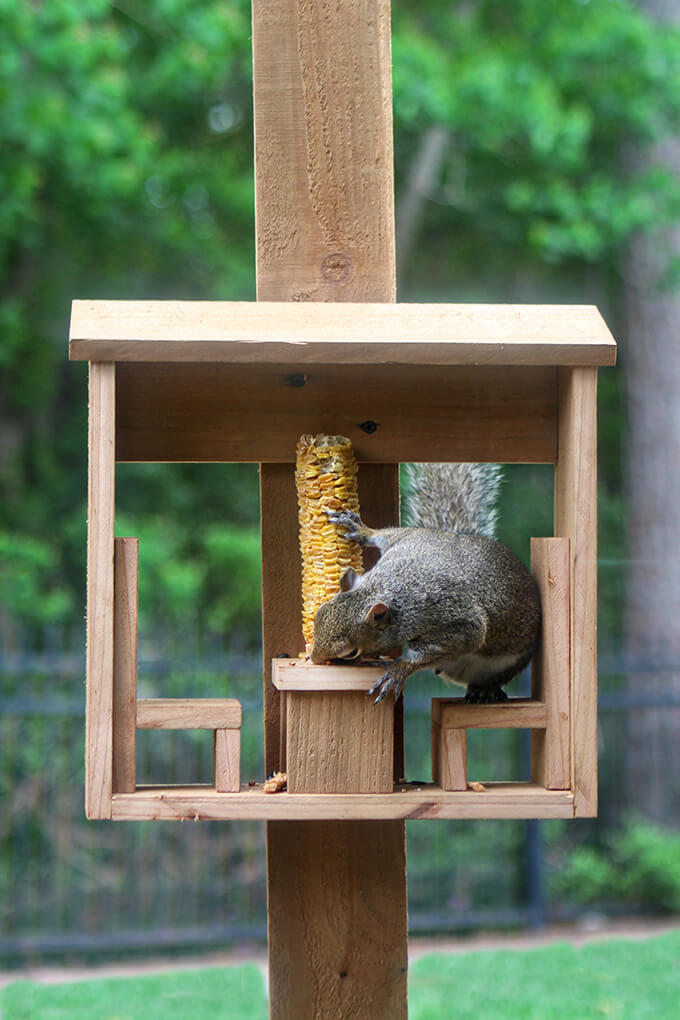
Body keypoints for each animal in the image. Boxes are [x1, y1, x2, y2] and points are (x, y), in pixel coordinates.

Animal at [310, 463, 541, 704]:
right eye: (319, 615)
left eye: (350, 653)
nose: (314, 659)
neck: (386, 585)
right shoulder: (411, 538)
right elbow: (385, 534)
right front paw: (360, 528)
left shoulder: (455, 620)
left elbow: (463, 639)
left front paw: (398, 670)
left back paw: (484, 691)